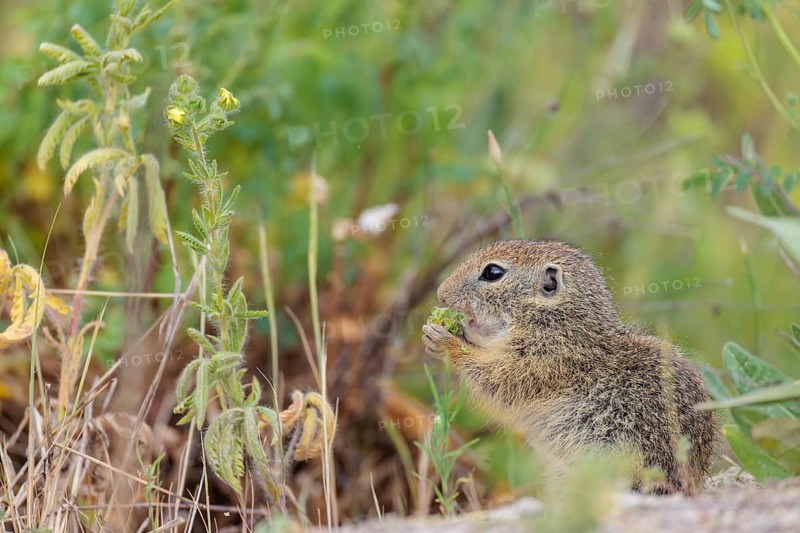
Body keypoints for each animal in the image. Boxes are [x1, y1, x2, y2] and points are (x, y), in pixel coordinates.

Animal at [421, 240, 718, 494]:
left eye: (492, 272)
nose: (441, 293)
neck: (559, 320)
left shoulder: (544, 360)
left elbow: (494, 380)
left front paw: (445, 342)